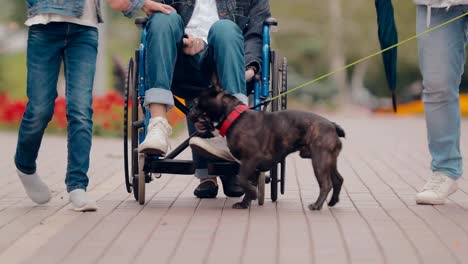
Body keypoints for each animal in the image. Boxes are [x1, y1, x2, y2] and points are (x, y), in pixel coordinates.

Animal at [188, 86, 346, 210]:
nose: (189, 111)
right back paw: (332, 202)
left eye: (196, 103)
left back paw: (317, 205)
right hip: (329, 160)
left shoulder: (250, 160)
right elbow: (247, 182)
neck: (234, 118)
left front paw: (252, 194)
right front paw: (245, 203)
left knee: (326, 183)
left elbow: (241, 179)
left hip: (319, 160)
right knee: (338, 179)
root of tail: (332, 125)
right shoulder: (251, 167)